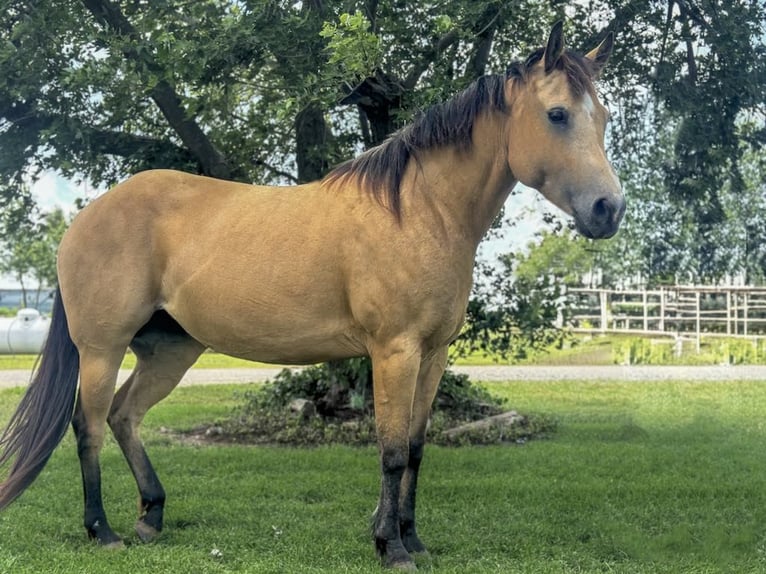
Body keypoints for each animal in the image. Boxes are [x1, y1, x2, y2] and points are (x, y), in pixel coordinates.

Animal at [0, 21, 624, 572]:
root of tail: (88, 216)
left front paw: (413, 540)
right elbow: (391, 451)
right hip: (102, 349)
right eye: (558, 114)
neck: (421, 212)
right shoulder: (394, 352)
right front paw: (391, 548)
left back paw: (151, 517)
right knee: (89, 425)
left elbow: (416, 448)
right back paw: (101, 530)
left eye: (604, 116)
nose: (608, 210)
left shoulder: (433, 355)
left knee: (125, 416)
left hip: (171, 350)